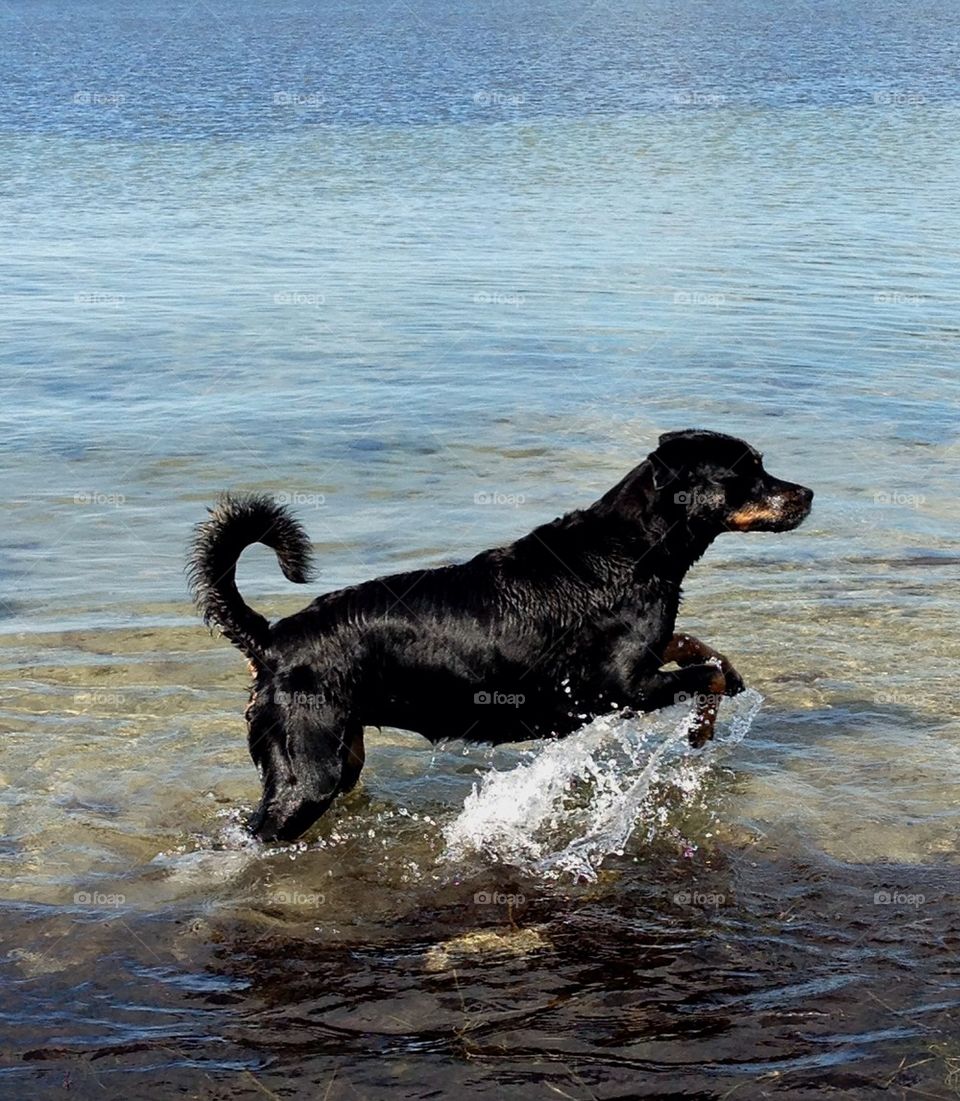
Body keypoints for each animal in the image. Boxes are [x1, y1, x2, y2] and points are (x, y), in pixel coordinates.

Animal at [186, 424, 810, 836]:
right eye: (747, 471)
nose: (807, 493)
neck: (632, 552)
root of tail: (273, 640)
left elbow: (696, 650)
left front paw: (728, 675)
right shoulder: (617, 689)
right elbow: (702, 676)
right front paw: (703, 728)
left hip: (342, 754)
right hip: (307, 772)